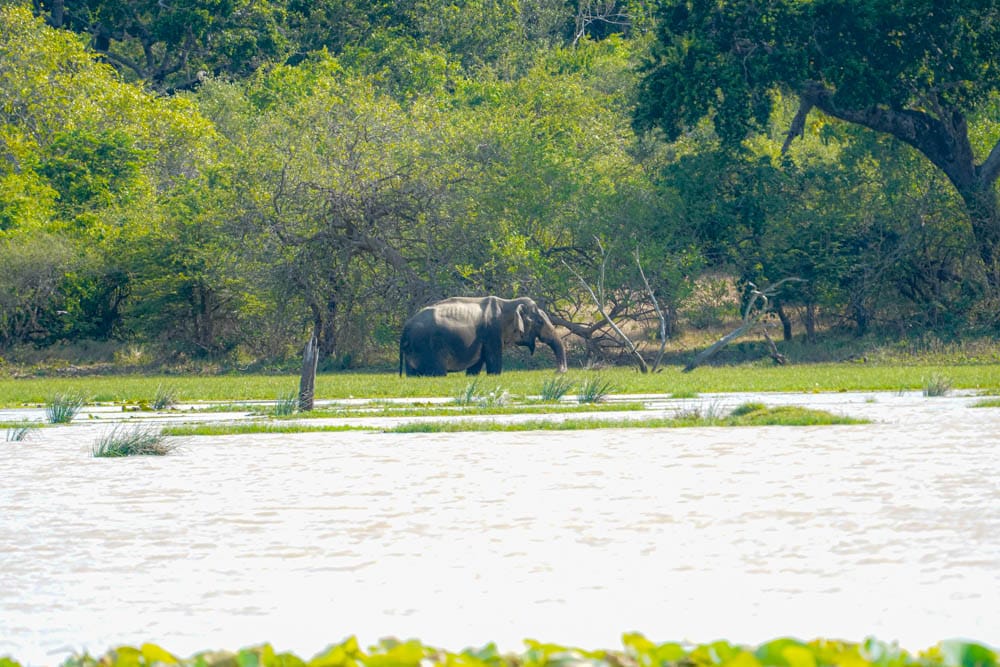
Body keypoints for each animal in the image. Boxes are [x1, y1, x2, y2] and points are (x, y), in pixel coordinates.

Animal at [400, 296, 572, 376]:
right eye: (539, 321)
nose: (558, 372)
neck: (508, 302)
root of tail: (406, 327)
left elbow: (477, 363)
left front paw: (471, 376)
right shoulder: (492, 332)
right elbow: (493, 360)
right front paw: (494, 375)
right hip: (430, 347)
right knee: (438, 372)